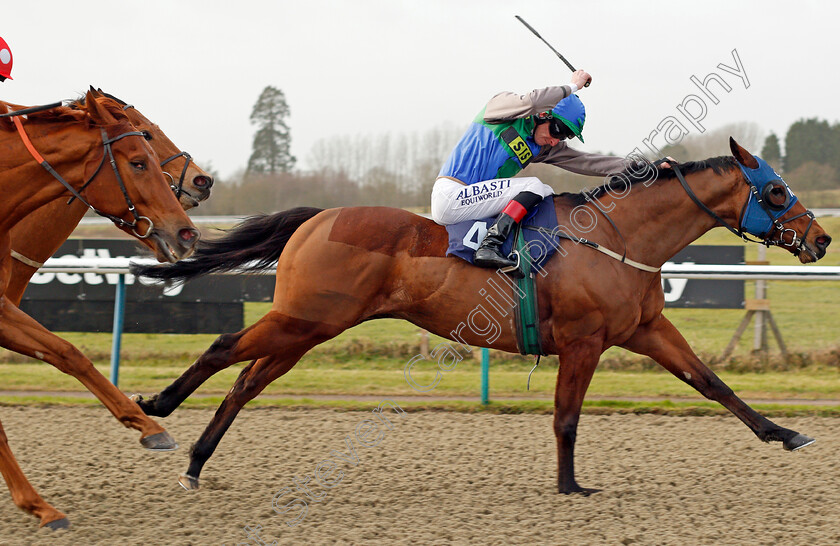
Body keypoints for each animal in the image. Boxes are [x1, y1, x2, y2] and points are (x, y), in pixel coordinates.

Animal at [133, 139, 832, 492]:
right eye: (775, 191)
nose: (822, 239)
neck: (617, 236)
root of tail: (319, 217)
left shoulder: (644, 329)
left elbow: (711, 382)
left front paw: (784, 432)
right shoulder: (584, 341)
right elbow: (567, 418)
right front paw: (570, 486)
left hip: (310, 326)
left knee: (248, 380)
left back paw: (196, 461)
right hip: (304, 318)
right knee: (225, 347)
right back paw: (159, 408)